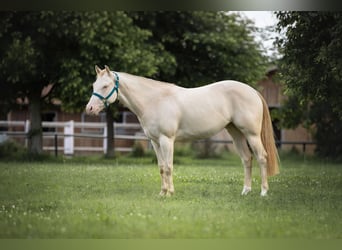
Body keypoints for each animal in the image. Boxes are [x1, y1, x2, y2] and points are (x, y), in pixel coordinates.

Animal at [86, 65, 280, 196]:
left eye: (105, 86)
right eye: (94, 85)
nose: (89, 109)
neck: (154, 100)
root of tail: (253, 91)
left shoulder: (166, 140)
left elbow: (169, 166)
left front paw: (170, 193)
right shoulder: (155, 142)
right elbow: (161, 167)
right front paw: (162, 193)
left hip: (251, 134)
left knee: (262, 157)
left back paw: (263, 192)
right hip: (236, 133)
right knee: (247, 159)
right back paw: (245, 191)